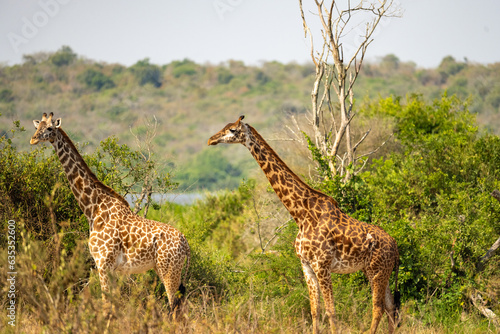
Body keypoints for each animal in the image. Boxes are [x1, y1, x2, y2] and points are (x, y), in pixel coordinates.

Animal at [29, 112, 189, 316]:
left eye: (49, 128)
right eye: (36, 127)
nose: (33, 139)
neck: (93, 209)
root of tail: (186, 244)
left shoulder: (103, 263)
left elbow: (106, 305)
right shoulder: (113, 269)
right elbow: (114, 305)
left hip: (168, 269)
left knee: (175, 307)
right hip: (172, 270)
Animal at [209, 116, 400, 332]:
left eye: (232, 130)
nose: (211, 140)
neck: (301, 215)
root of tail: (395, 246)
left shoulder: (322, 265)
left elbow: (331, 312)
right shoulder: (306, 265)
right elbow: (315, 311)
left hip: (377, 271)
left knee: (378, 308)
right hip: (379, 271)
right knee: (390, 308)